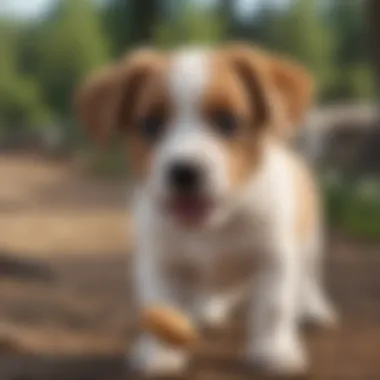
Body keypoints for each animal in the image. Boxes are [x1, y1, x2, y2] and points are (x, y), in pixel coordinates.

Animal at [75, 43, 336, 378]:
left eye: (228, 121)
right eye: (150, 124)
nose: (184, 171)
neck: (214, 226)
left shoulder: (274, 259)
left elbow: (273, 306)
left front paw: (273, 349)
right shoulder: (160, 262)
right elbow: (163, 304)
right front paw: (161, 352)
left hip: (311, 242)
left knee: (309, 277)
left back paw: (314, 308)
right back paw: (210, 308)